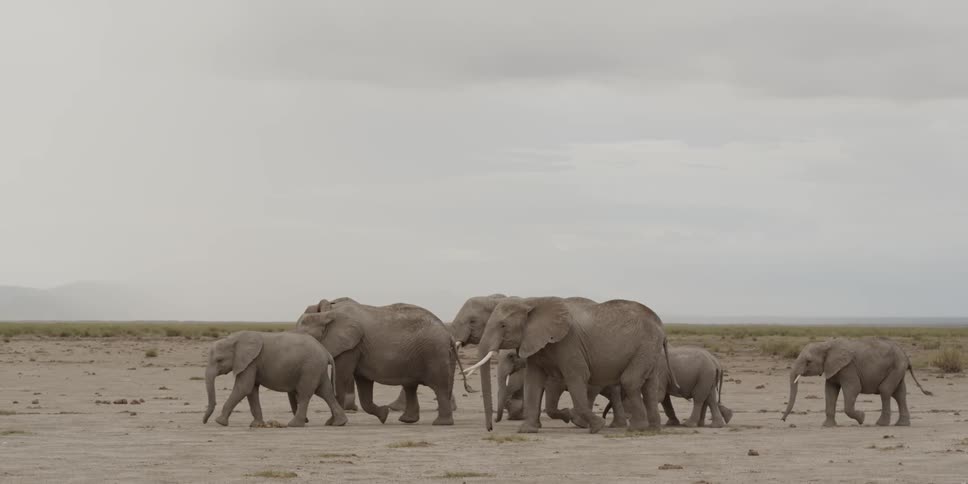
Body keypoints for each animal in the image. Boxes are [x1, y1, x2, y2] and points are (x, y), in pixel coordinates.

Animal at [202, 330, 347, 428]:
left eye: (219, 360)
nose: (204, 421)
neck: (234, 339)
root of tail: (326, 352)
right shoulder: (252, 363)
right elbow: (251, 390)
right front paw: (256, 425)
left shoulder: (251, 362)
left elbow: (243, 387)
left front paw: (219, 422)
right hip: (317, 368)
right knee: (325, 392)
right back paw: (338, 423)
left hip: (310, 368)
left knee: (305, 393)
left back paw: (294, 424)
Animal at [296, 298, 456, 425]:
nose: (306, 421)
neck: (326, 314)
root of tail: (448, 334)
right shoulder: (359, 348)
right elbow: (363, 385)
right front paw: (384, 415)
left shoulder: (350, 347)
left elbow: (341, 377)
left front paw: (331, 423)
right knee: (410, 387)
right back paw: (407, 420)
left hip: (434, 353)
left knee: (439, 386)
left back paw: (441, 423)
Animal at [463, 296, 672, 434]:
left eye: (503, 326)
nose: (490, 428)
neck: (532, 301)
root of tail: (661, 325)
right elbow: (533, 382)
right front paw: (527, 430)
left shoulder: (569, 343)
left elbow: (576, 378)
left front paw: (595, 426)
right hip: (649, 350)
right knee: (649, 385)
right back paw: (652, 428)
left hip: (646, 345)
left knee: (630, 381)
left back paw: (637, 428)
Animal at [604, 346, 733, 428]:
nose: (604, 417)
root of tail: (716, 362)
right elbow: (664, 399)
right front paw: (671, 423)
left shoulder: (659, 371)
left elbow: (659, 395)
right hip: (708, 377)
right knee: (710, 398)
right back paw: (714, 425)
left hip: (705, 375)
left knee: (699, 398)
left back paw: (690, 425)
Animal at [781, 338, 932, 427]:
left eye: (808, 361)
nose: (783, 420)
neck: (826, 344)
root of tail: (906, 356)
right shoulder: (833, 368)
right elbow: (830, 391)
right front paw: (827, 426)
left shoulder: (848, 367)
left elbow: (853, 389)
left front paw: (862, 418)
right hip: (898, 369)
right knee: (899, 394)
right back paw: (902, 424)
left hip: (896, 367)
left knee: (885, 390)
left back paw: (880, 424)